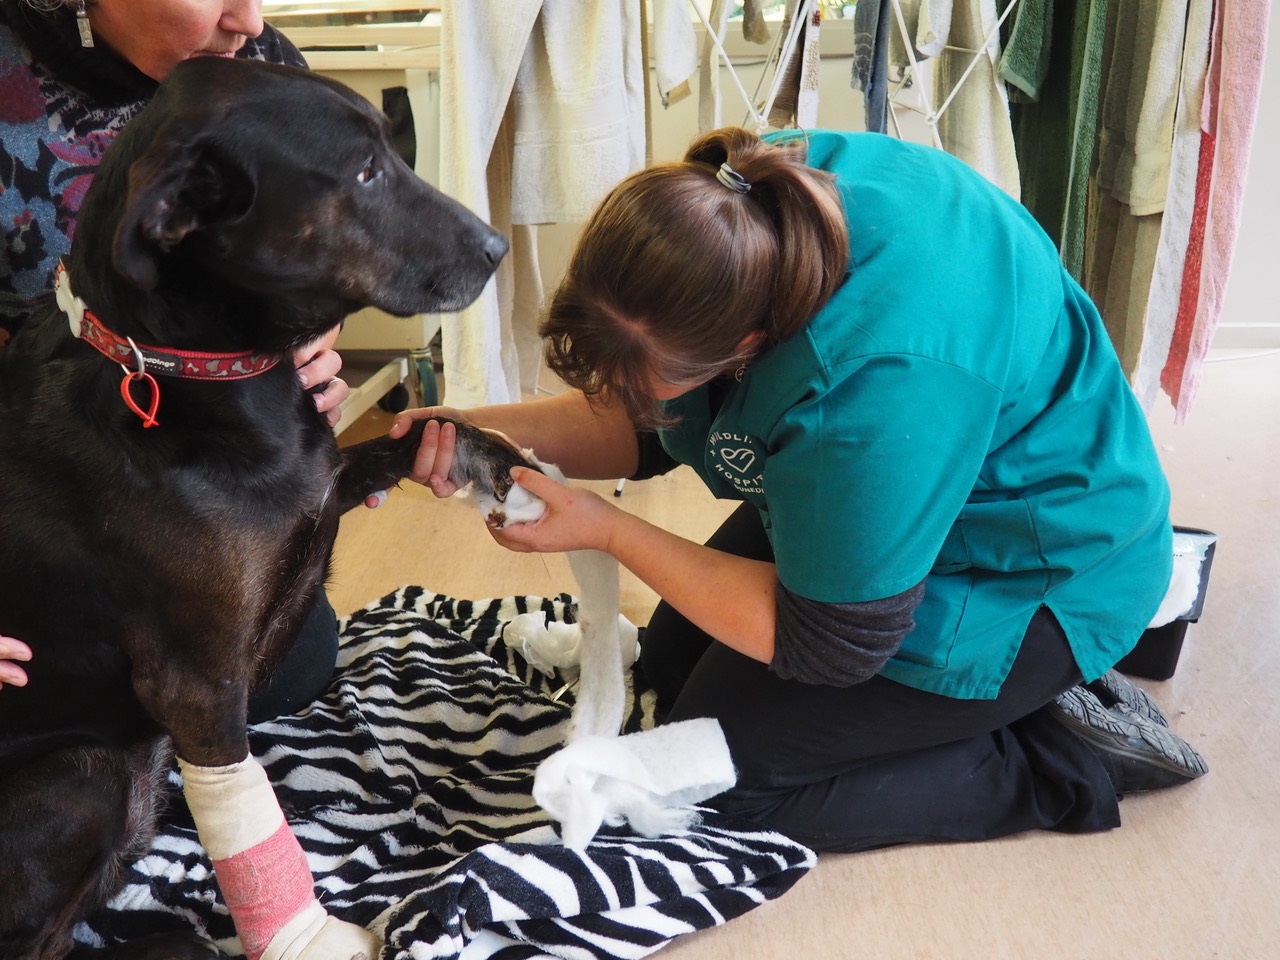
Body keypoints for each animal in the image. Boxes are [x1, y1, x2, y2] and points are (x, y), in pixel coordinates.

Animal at [0, 60, 509, 960]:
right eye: (366, 173)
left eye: (395, 148)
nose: (500, 250)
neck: (198, 374)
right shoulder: (198, 686)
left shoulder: (322, 481)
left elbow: (415, 434)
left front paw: (487, 457)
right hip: (84, 775)